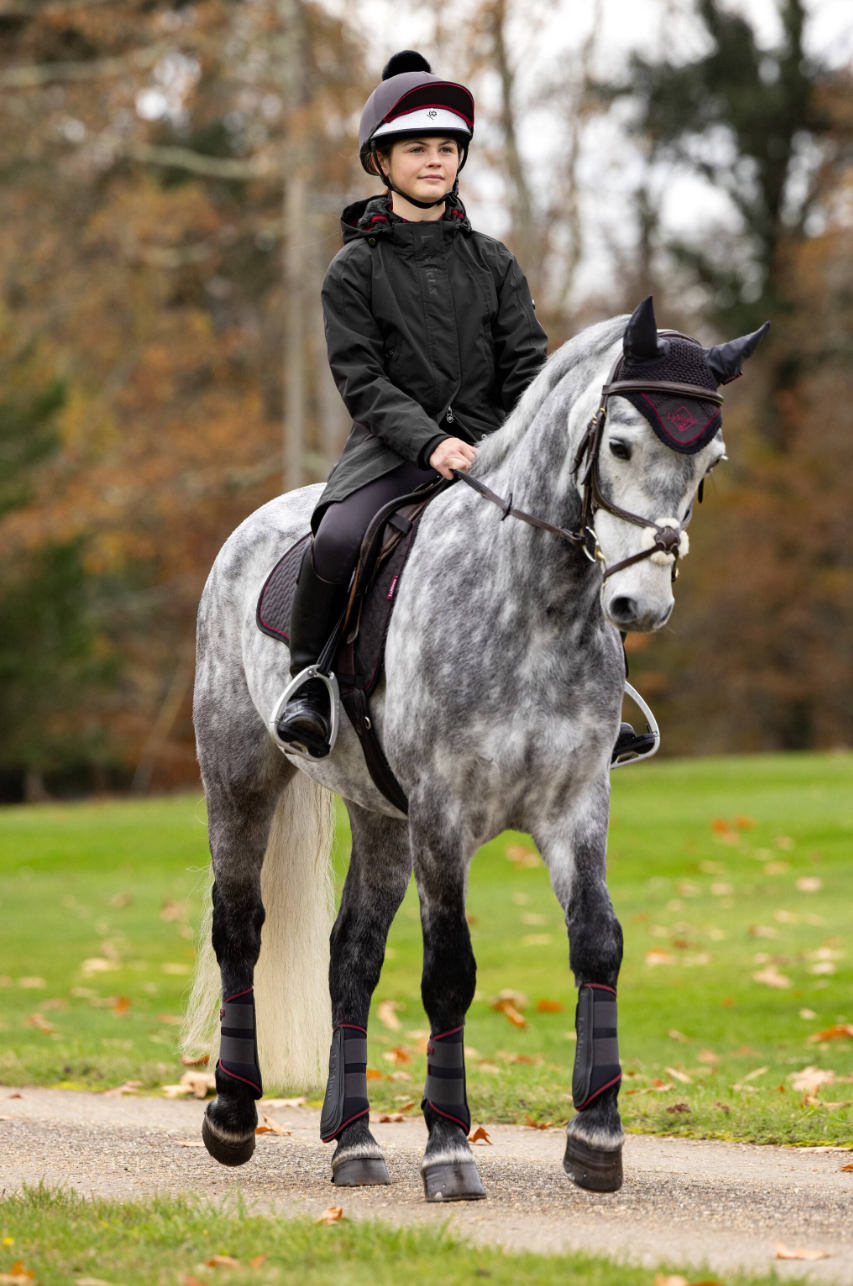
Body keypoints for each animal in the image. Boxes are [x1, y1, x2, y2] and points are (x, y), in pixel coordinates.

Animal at [183, 298, 761, 1193]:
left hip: (381, 818)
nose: (640, 604)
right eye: (622, 444)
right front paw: (449, 1150)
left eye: (710, 463)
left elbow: (598, 943)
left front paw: (596, 1138)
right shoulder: (443, 817)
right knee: (239, 927)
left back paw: (353, 1142)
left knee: (350, 957)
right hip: (241, 777)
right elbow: (450, 973)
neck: (533, 607)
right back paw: (233, 1117)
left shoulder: (573, 808)